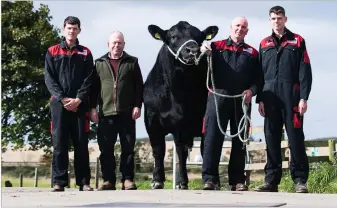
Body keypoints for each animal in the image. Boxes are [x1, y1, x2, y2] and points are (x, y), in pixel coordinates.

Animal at [142, 21, 218, 188]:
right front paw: (157, 180)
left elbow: (201, 149)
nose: (192, 50)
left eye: (200, 37)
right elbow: (159, 150)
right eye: (173, 36)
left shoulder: (193, 122)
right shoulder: (152, 120)